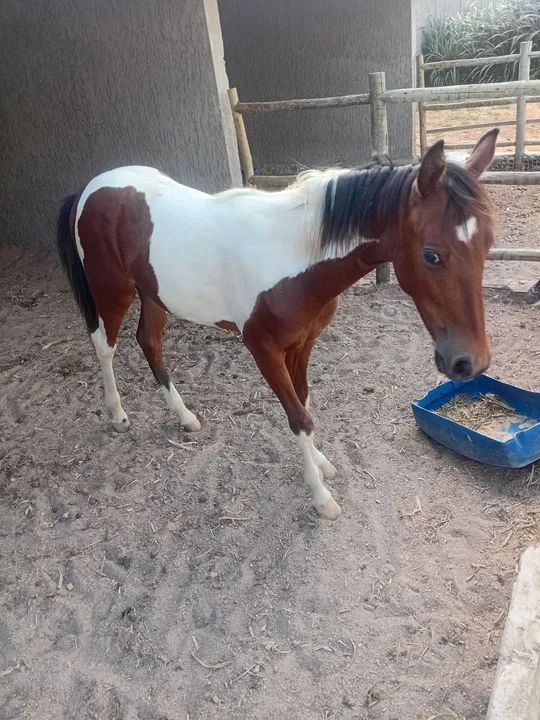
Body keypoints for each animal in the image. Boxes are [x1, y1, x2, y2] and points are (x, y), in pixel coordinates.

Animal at [56, 129, 499, 520]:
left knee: (149, 342)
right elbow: (298, 417)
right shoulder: (263, 349)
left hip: (154, 294)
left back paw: (185, 418)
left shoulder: (303, 343)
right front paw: (321, 498)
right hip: (112, 291)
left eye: (488, 244)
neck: (291, 257)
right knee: (105, 344)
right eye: (432, 255)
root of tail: (90, 188)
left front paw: (321, 463)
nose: (468, 362)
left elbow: (303, 401)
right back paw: (117, 416)